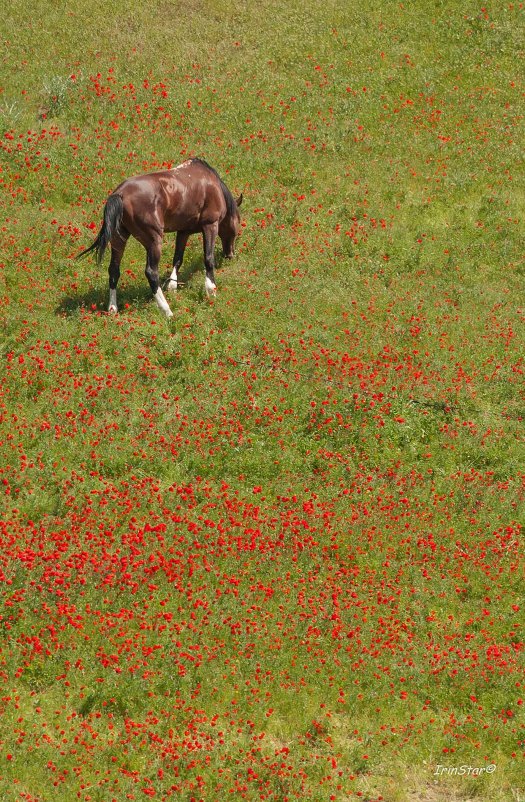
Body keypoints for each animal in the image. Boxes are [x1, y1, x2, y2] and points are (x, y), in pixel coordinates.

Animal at [76, 158, 244, 318]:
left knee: (113, 270)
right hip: (154, 240)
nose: (230, 255)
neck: (212, 184)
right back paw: (166, 310)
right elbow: (208, 258)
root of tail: (120, 194)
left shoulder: (183, 231)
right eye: (238, 223)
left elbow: (177, 259)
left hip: (119, 238)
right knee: (151, 272)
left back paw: (112, 308)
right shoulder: (210, 225)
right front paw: (211, 290)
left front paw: (172, 286)